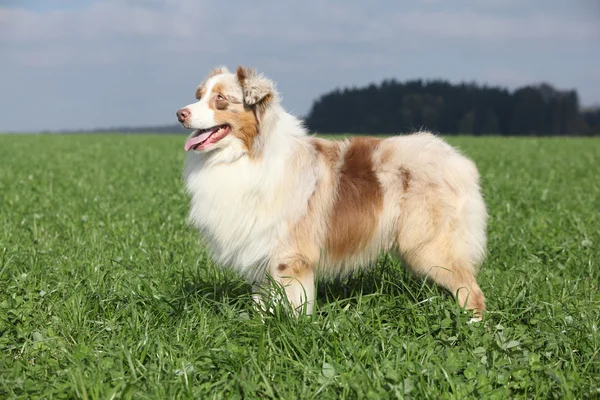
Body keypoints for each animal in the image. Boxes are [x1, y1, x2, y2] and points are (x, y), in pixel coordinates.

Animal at [175, 66, 488, 318]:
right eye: (199, 95)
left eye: (220, 99)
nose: (180, 113)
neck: (247, 155)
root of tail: (457, 160)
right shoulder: (261, 249)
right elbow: (262, 300)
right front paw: (259, 325)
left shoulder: (291, 255)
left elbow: (294, 303)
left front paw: (294, 329)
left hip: (430, 247)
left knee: (471, 291)